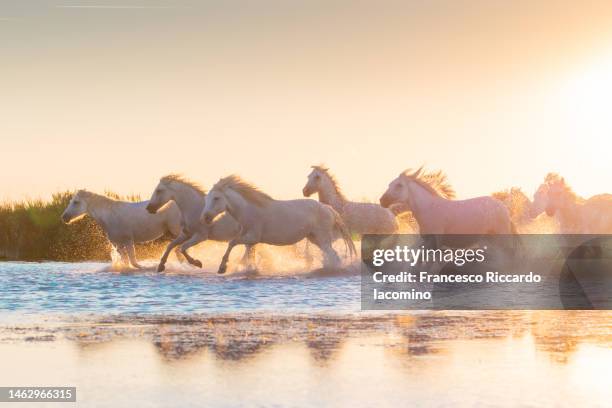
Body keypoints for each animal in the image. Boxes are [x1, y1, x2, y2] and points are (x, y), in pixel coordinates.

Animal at [201, 175, 356, 274]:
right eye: (207, 198)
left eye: (216, 198)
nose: (205, 217)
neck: (248, 209)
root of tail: (328, 208)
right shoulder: (250, 240)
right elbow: (248, 255)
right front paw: (247, 268)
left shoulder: (252, 237)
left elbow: (231, 243)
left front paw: (222, 268)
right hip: (314, 238)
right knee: (332, 255)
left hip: (322, 239)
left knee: (333, 256)